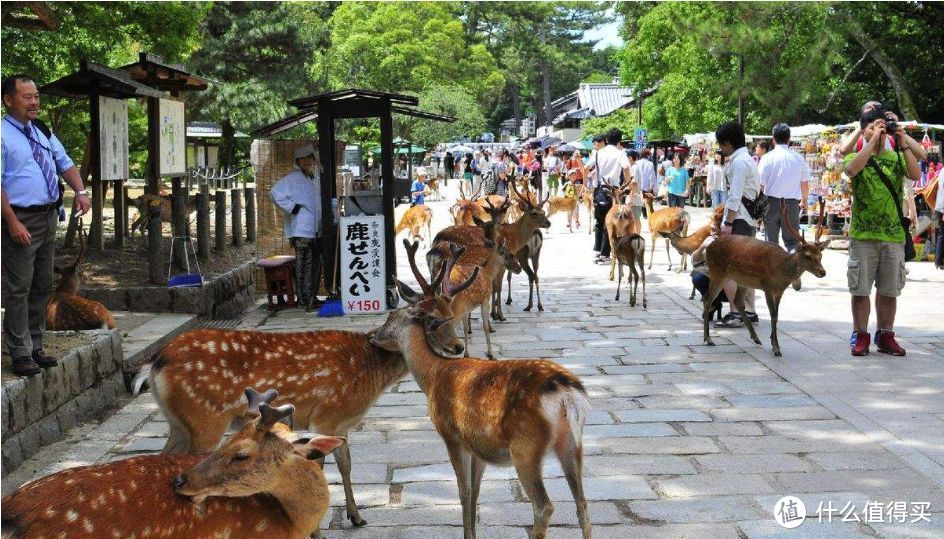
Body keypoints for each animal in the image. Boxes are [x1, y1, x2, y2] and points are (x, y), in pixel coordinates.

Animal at [135, 306, 466, 528]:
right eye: (435, 322)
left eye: (452, 313)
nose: (459, 347)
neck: (369, 377)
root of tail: (155, 364)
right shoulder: (326, 413)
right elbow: (320, 465)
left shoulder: (342, 424)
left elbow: (345, 464)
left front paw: (356, 517)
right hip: (205, 417)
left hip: (178, 423)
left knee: (162, 458)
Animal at [368, 240, 592, 539]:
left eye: (391, 316)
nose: (372, 336)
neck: (432, 376)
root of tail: (567, 394)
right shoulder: (478, 447)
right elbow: (475, 493)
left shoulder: (452, 435)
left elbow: (463, 492)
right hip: (572, 442)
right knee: (582, 505)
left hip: (526, 446)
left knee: (544, 506)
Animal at [700, 202, 824, 358]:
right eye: (808, 256)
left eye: (820, 255)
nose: (823, 272)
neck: (782, 271)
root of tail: (709, 247)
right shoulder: (767, 287)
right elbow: (773, 315)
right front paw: (776, 348)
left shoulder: (779, 291)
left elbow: (776, 315)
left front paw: (772, 342)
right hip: (718, 273)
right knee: (707, 299)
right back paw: (708, 339)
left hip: (742, 281)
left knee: (737, 302)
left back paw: (756, 338)